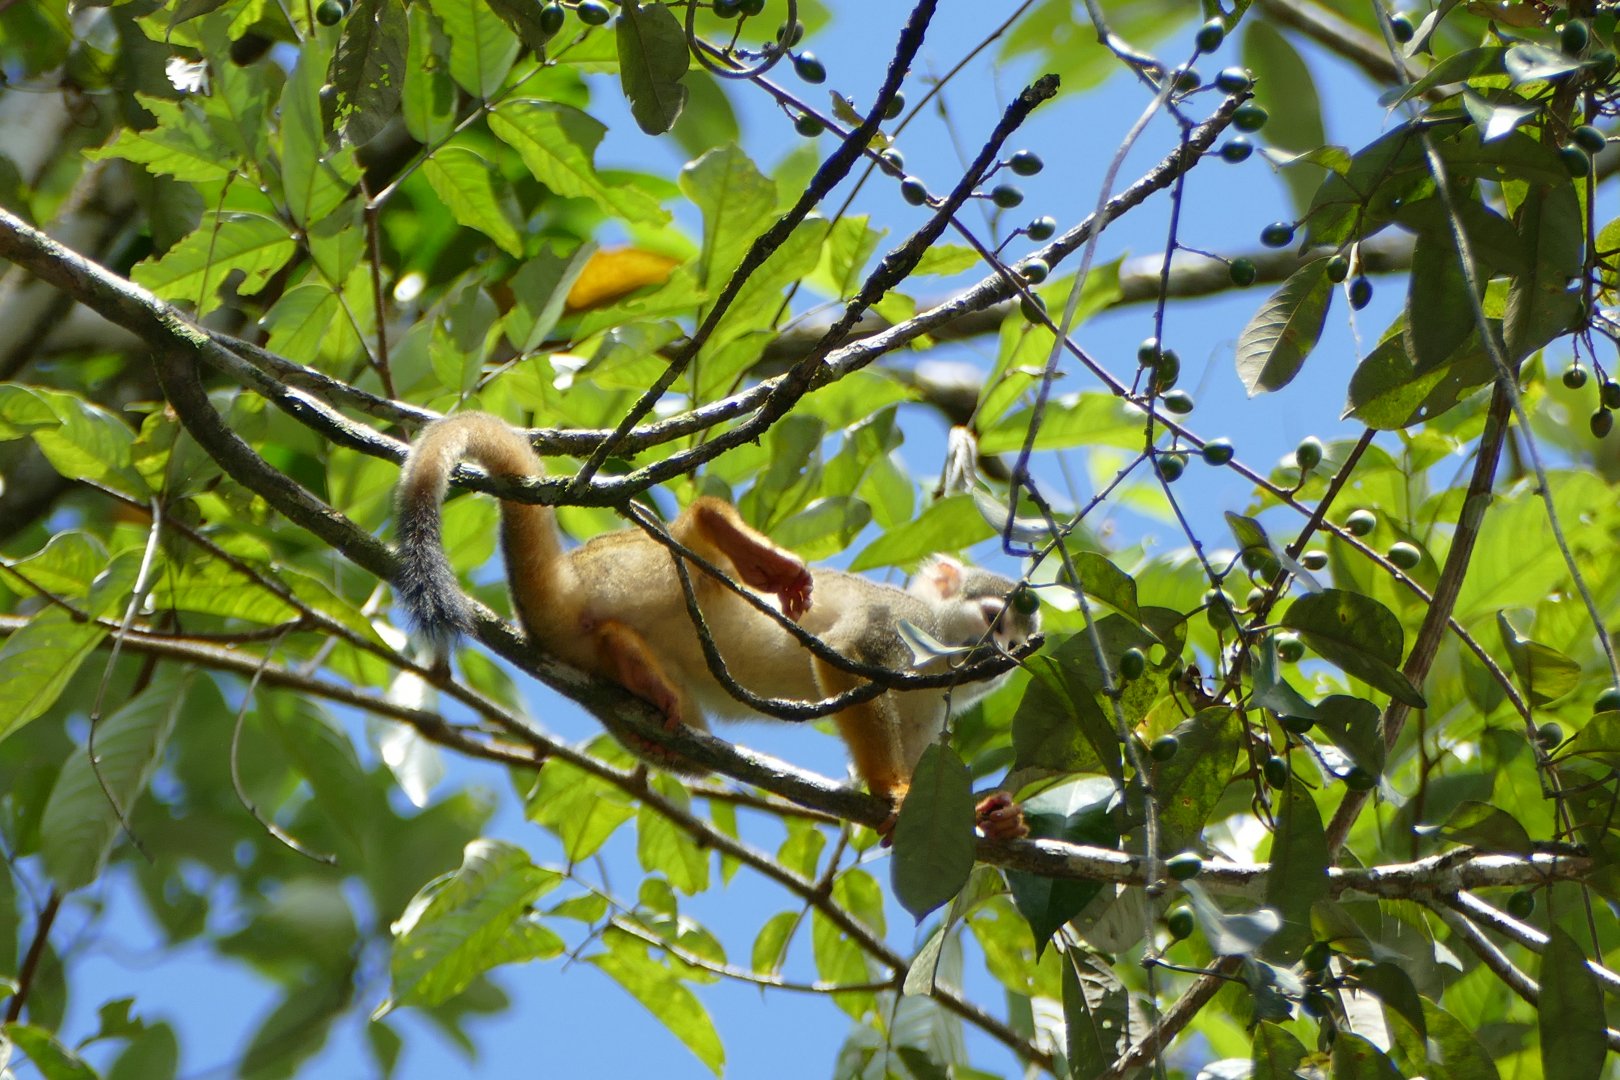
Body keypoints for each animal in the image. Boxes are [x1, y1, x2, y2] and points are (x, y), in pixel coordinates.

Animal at [394, 412, 1039, 838]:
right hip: (631, 565)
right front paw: (896, 792)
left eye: (1014, 648)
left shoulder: (936, 713)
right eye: (992, 623)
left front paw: (997, 817)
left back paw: (632, 665)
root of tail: (556, 587)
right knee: (693, 558)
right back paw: (728, 539)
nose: (995, 659)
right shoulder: (906, 621)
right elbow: (846, 649)